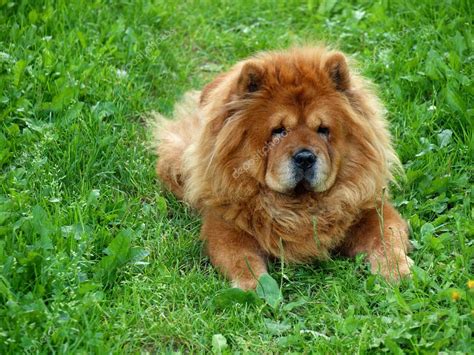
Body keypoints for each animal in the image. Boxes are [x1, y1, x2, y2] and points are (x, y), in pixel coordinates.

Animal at [154, 46, 412, 290]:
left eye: (323, 130)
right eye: (278, 131)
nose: (305, 157)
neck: (299, 207)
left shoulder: (371, 209)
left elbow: (385, 239)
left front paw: (396, 271)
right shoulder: (226, 226)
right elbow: (242, 259)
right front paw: (255, 287)